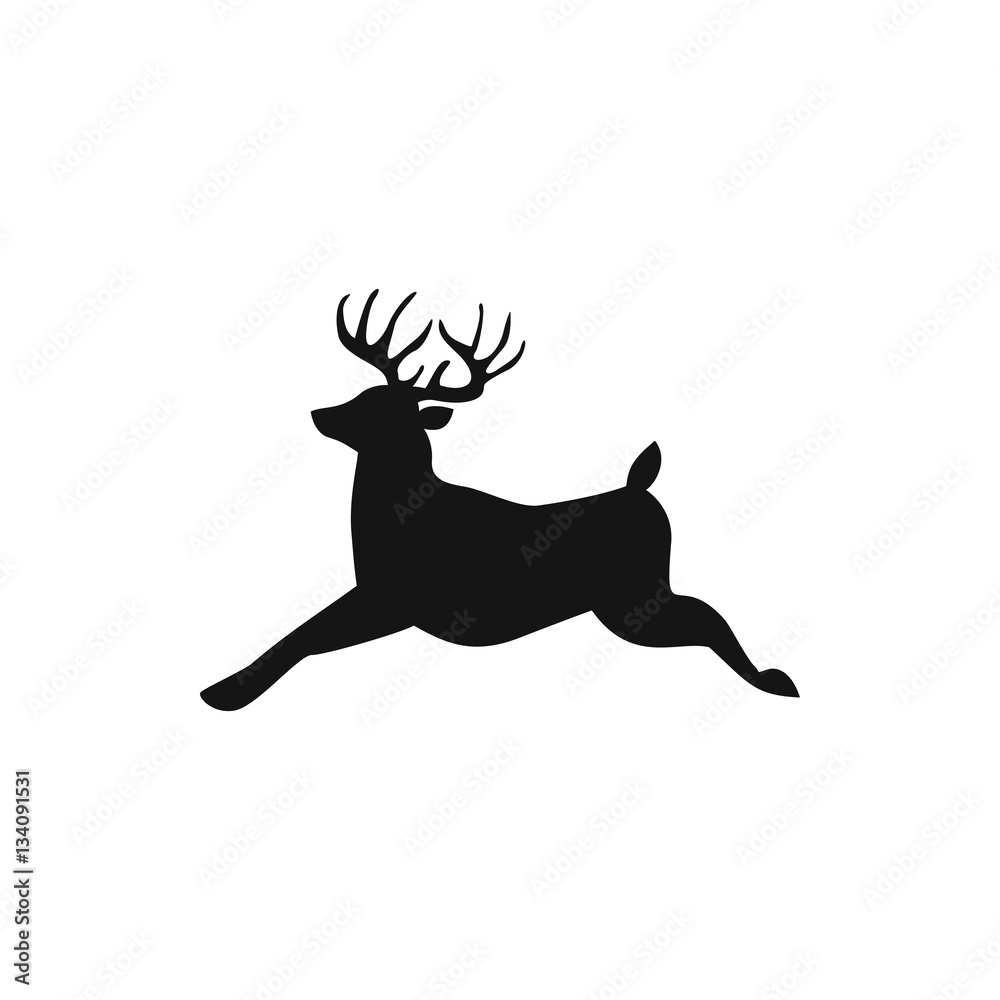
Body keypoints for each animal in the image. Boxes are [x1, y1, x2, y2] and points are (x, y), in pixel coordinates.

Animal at [199, 290, 799, 711]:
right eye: (366, 393)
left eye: (384, 410)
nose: (320, 413)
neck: (393, 522)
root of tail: (641, 489)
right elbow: (302, 633)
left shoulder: (396, 598)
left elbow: (303, 635)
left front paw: (223, 693)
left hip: (635, 598)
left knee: (707, 615)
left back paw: (774, 680)